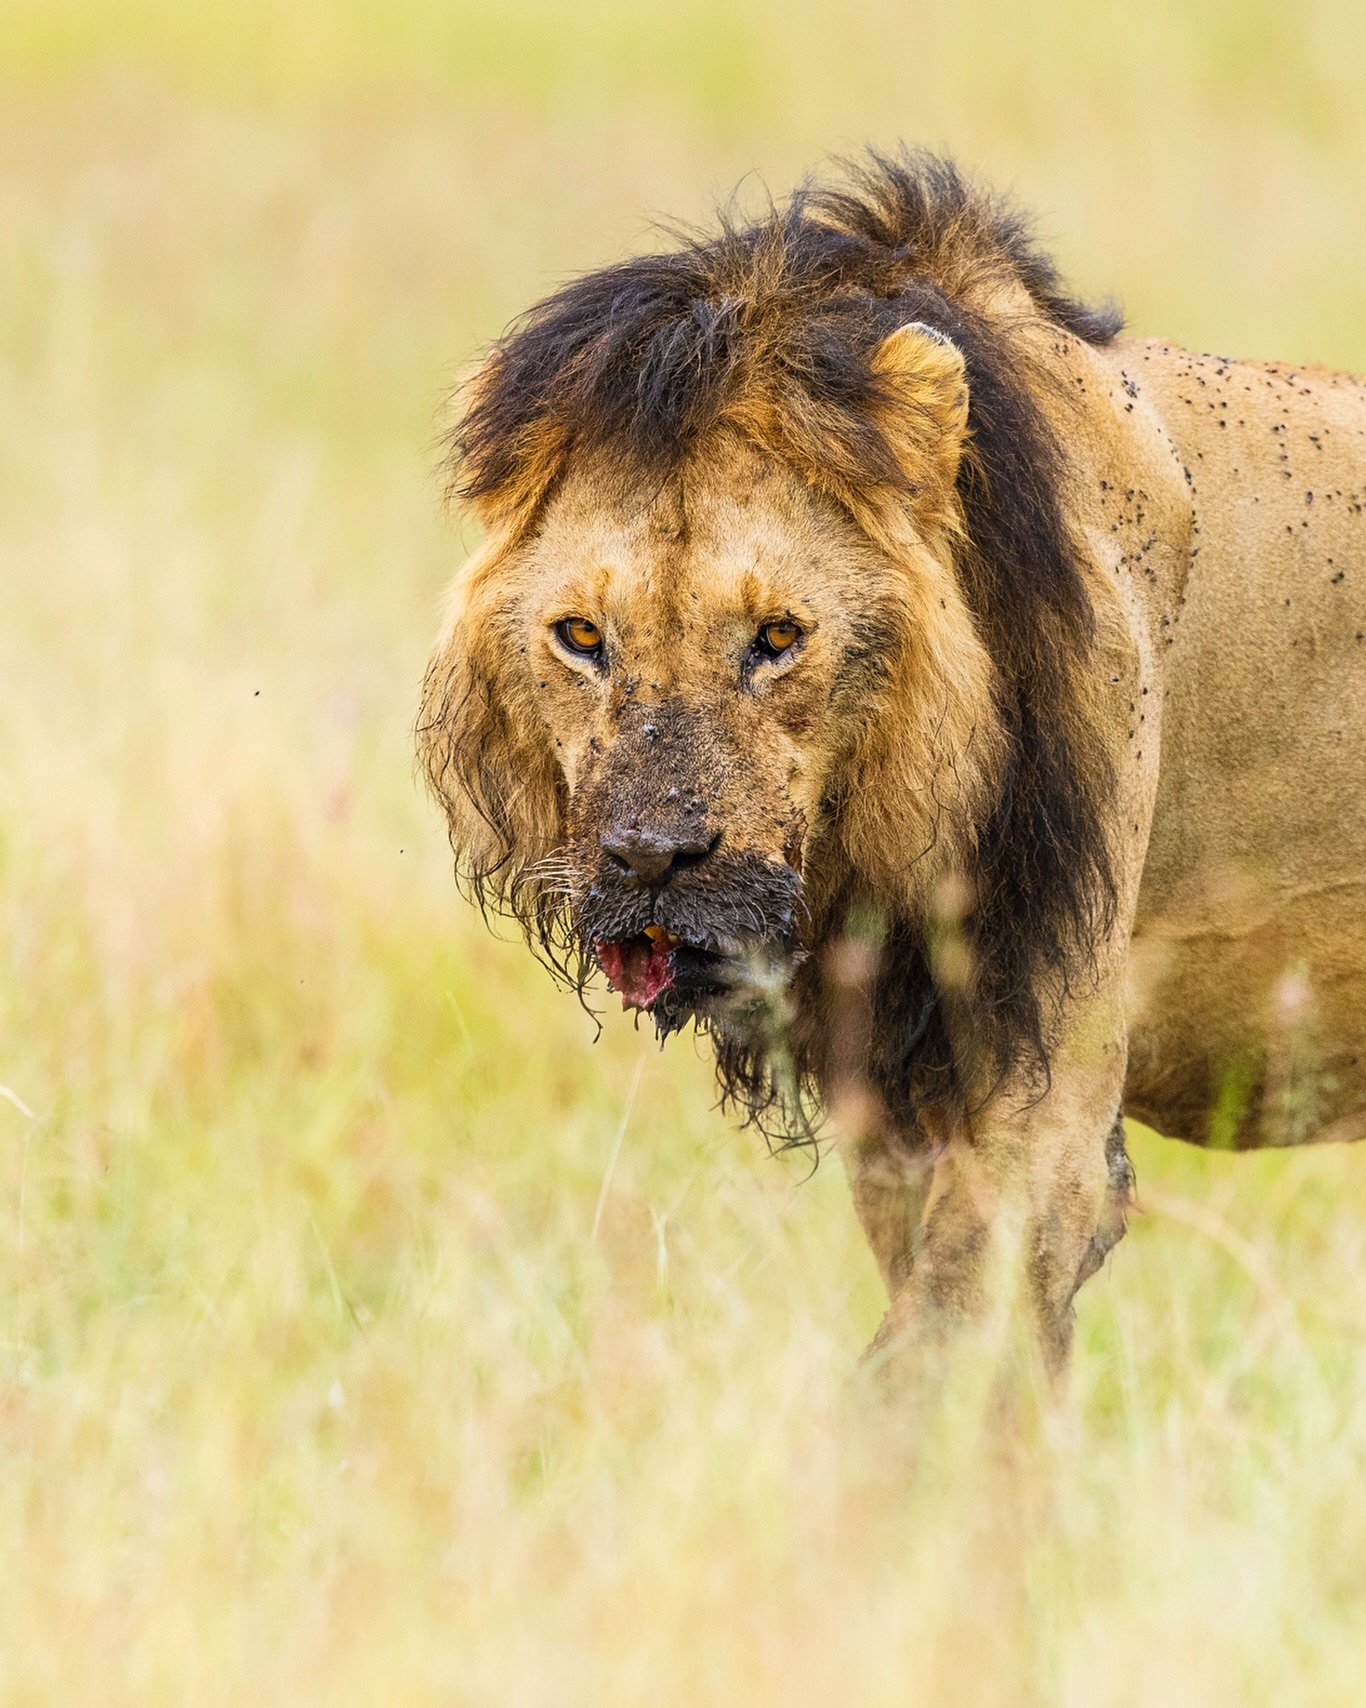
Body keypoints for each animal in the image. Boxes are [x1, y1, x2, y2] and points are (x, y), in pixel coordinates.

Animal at [418, 151, 1366, 1372]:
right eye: (582, 636)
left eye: (778, 636)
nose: (651, 859)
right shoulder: (894, 1103)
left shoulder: (1049, 1098)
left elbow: (933, 1354)